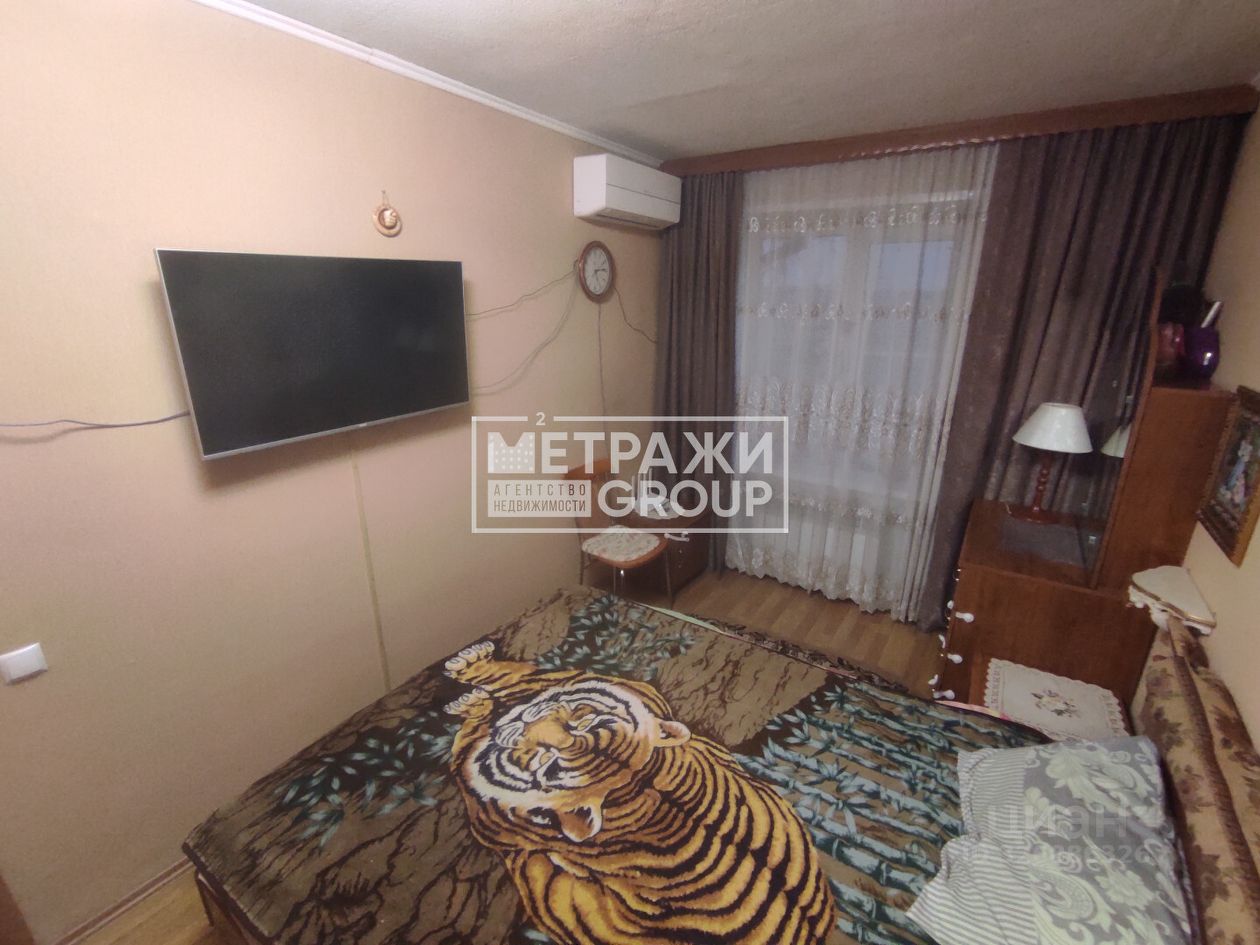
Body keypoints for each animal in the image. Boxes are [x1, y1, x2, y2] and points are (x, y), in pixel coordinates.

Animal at [442, 640, 837, 945]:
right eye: (581, 720)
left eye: (547, 761)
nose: (522, 721)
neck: (640, 779)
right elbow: (520, 681)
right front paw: (472, 671)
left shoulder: (485, 813)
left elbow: (470, 741)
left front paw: (471, 701)